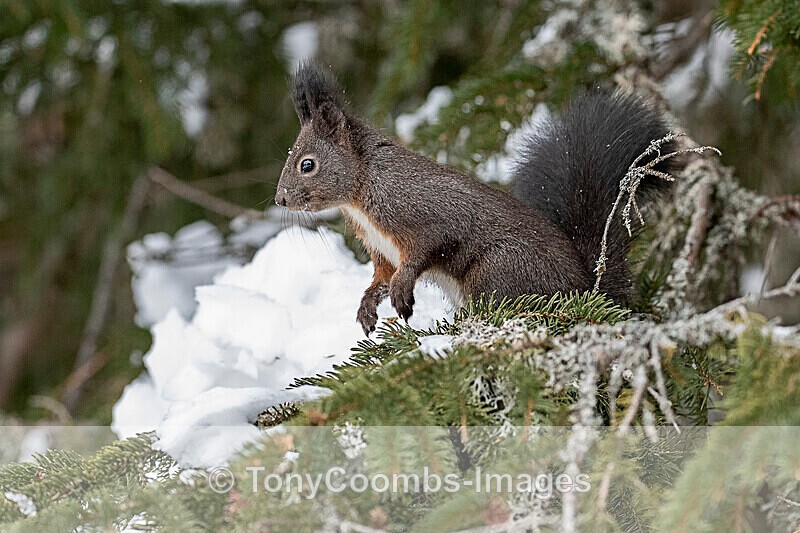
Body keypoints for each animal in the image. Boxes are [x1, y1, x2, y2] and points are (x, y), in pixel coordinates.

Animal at [275, 61, 674, 335]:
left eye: (307, 165)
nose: (280, 200)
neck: (360, 194)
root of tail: (586, 289)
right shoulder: (381, 250)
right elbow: (381, 277)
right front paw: (367, 305)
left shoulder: (422, 212)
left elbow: (423, 251)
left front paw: (402, 293)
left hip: (500, 269)